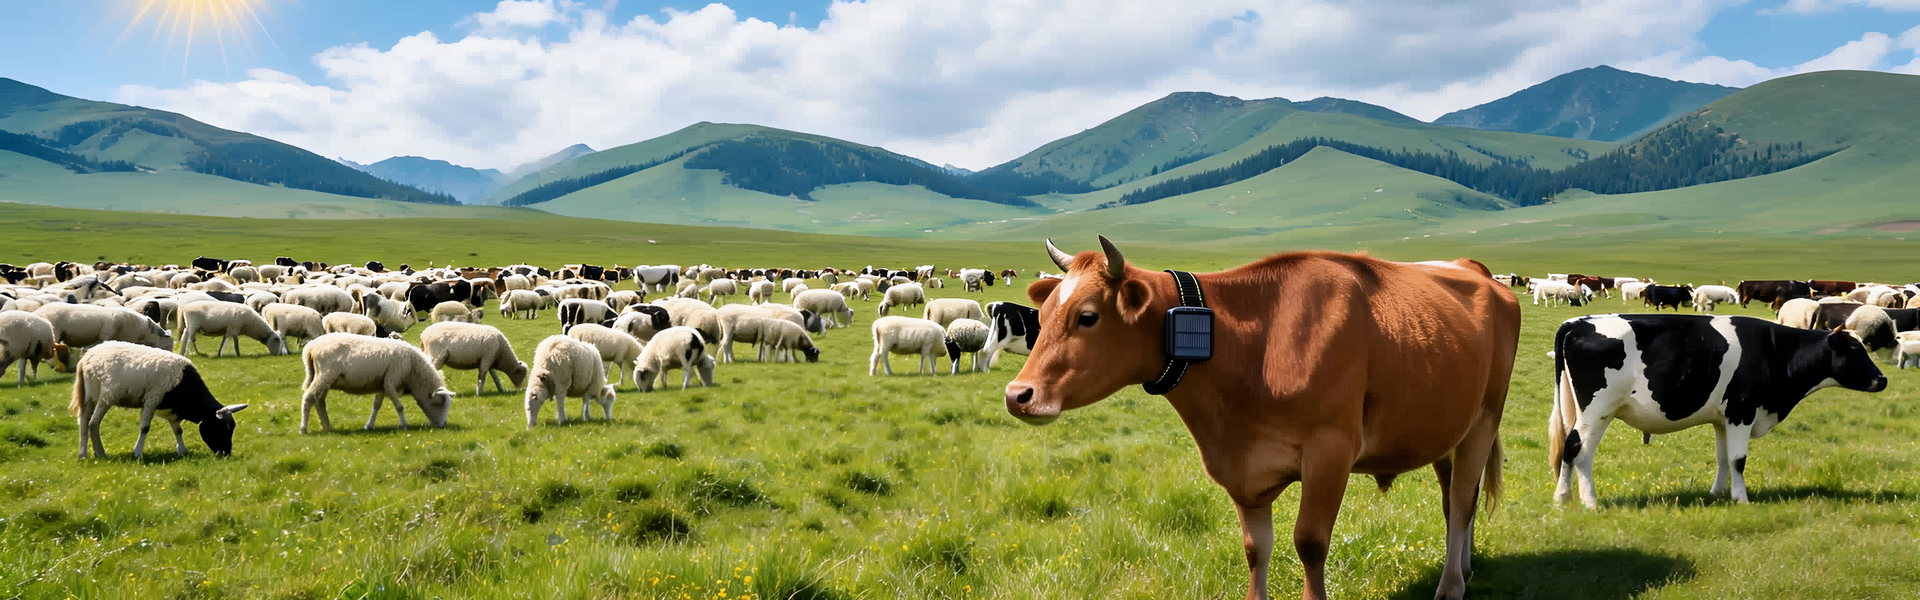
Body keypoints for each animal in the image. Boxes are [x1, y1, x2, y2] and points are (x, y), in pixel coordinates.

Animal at [1003, 237, 1518, 600]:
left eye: (1087, 316)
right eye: (1043, 315)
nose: (1018, 394)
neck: (1252, 345)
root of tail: (1474, 269)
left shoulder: (1330, 450)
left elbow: (1310, 542)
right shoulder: (1243, 465)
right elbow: (1256, 549)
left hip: (1485, 418)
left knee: (1463, 501)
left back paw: (1451, 586)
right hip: (1447, 426)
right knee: (1455, 499)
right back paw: (1464, 567)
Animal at [1549, 314, 1886, 508]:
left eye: (1864, 346)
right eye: (1854, 350)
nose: (1882, 380)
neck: (1776, 350)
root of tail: (1576, 322)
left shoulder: (1723, 419)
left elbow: (1723, 457)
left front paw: (1716, 494)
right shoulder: (1742, 411)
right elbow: (1739, 459)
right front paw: (1741, 498)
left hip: (1581, 409)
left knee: (1571, 447)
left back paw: (1566, 497)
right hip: (1598, 409)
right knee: (1579, 448)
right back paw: (1585, 501)